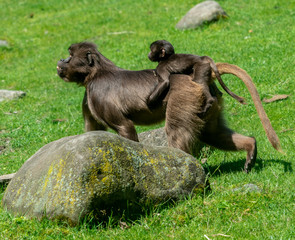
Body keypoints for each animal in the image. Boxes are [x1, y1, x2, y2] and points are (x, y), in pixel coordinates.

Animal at [57, 41, 282, 172]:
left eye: (70, 56)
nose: (60, 61)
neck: (95, 73)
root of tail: (201, 72)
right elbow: (92, 133)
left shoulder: (98, 92)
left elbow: (125, 128)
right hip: (208, 102)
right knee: (210, 133)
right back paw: (250, 146)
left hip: (184, 97)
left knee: (177, 131)